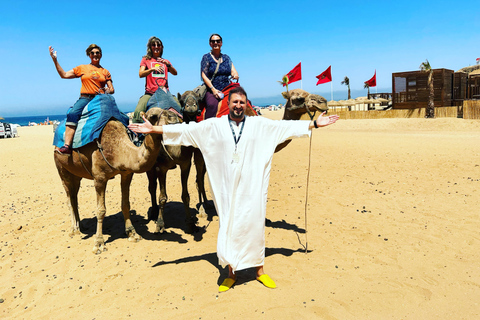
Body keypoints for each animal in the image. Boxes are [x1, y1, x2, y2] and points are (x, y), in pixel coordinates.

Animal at [54, 107, 178, 255]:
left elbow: (126, 204)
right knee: (68, 197)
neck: (119, 149)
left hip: (76, 173)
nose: (175, 117)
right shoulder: (99, 178)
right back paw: (74, 229)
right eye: (153, 116)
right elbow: (101, 210)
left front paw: (132, 234)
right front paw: (99, 243)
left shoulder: (126, 174)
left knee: (74, 196)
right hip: (61, 167)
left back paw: (81, 225)